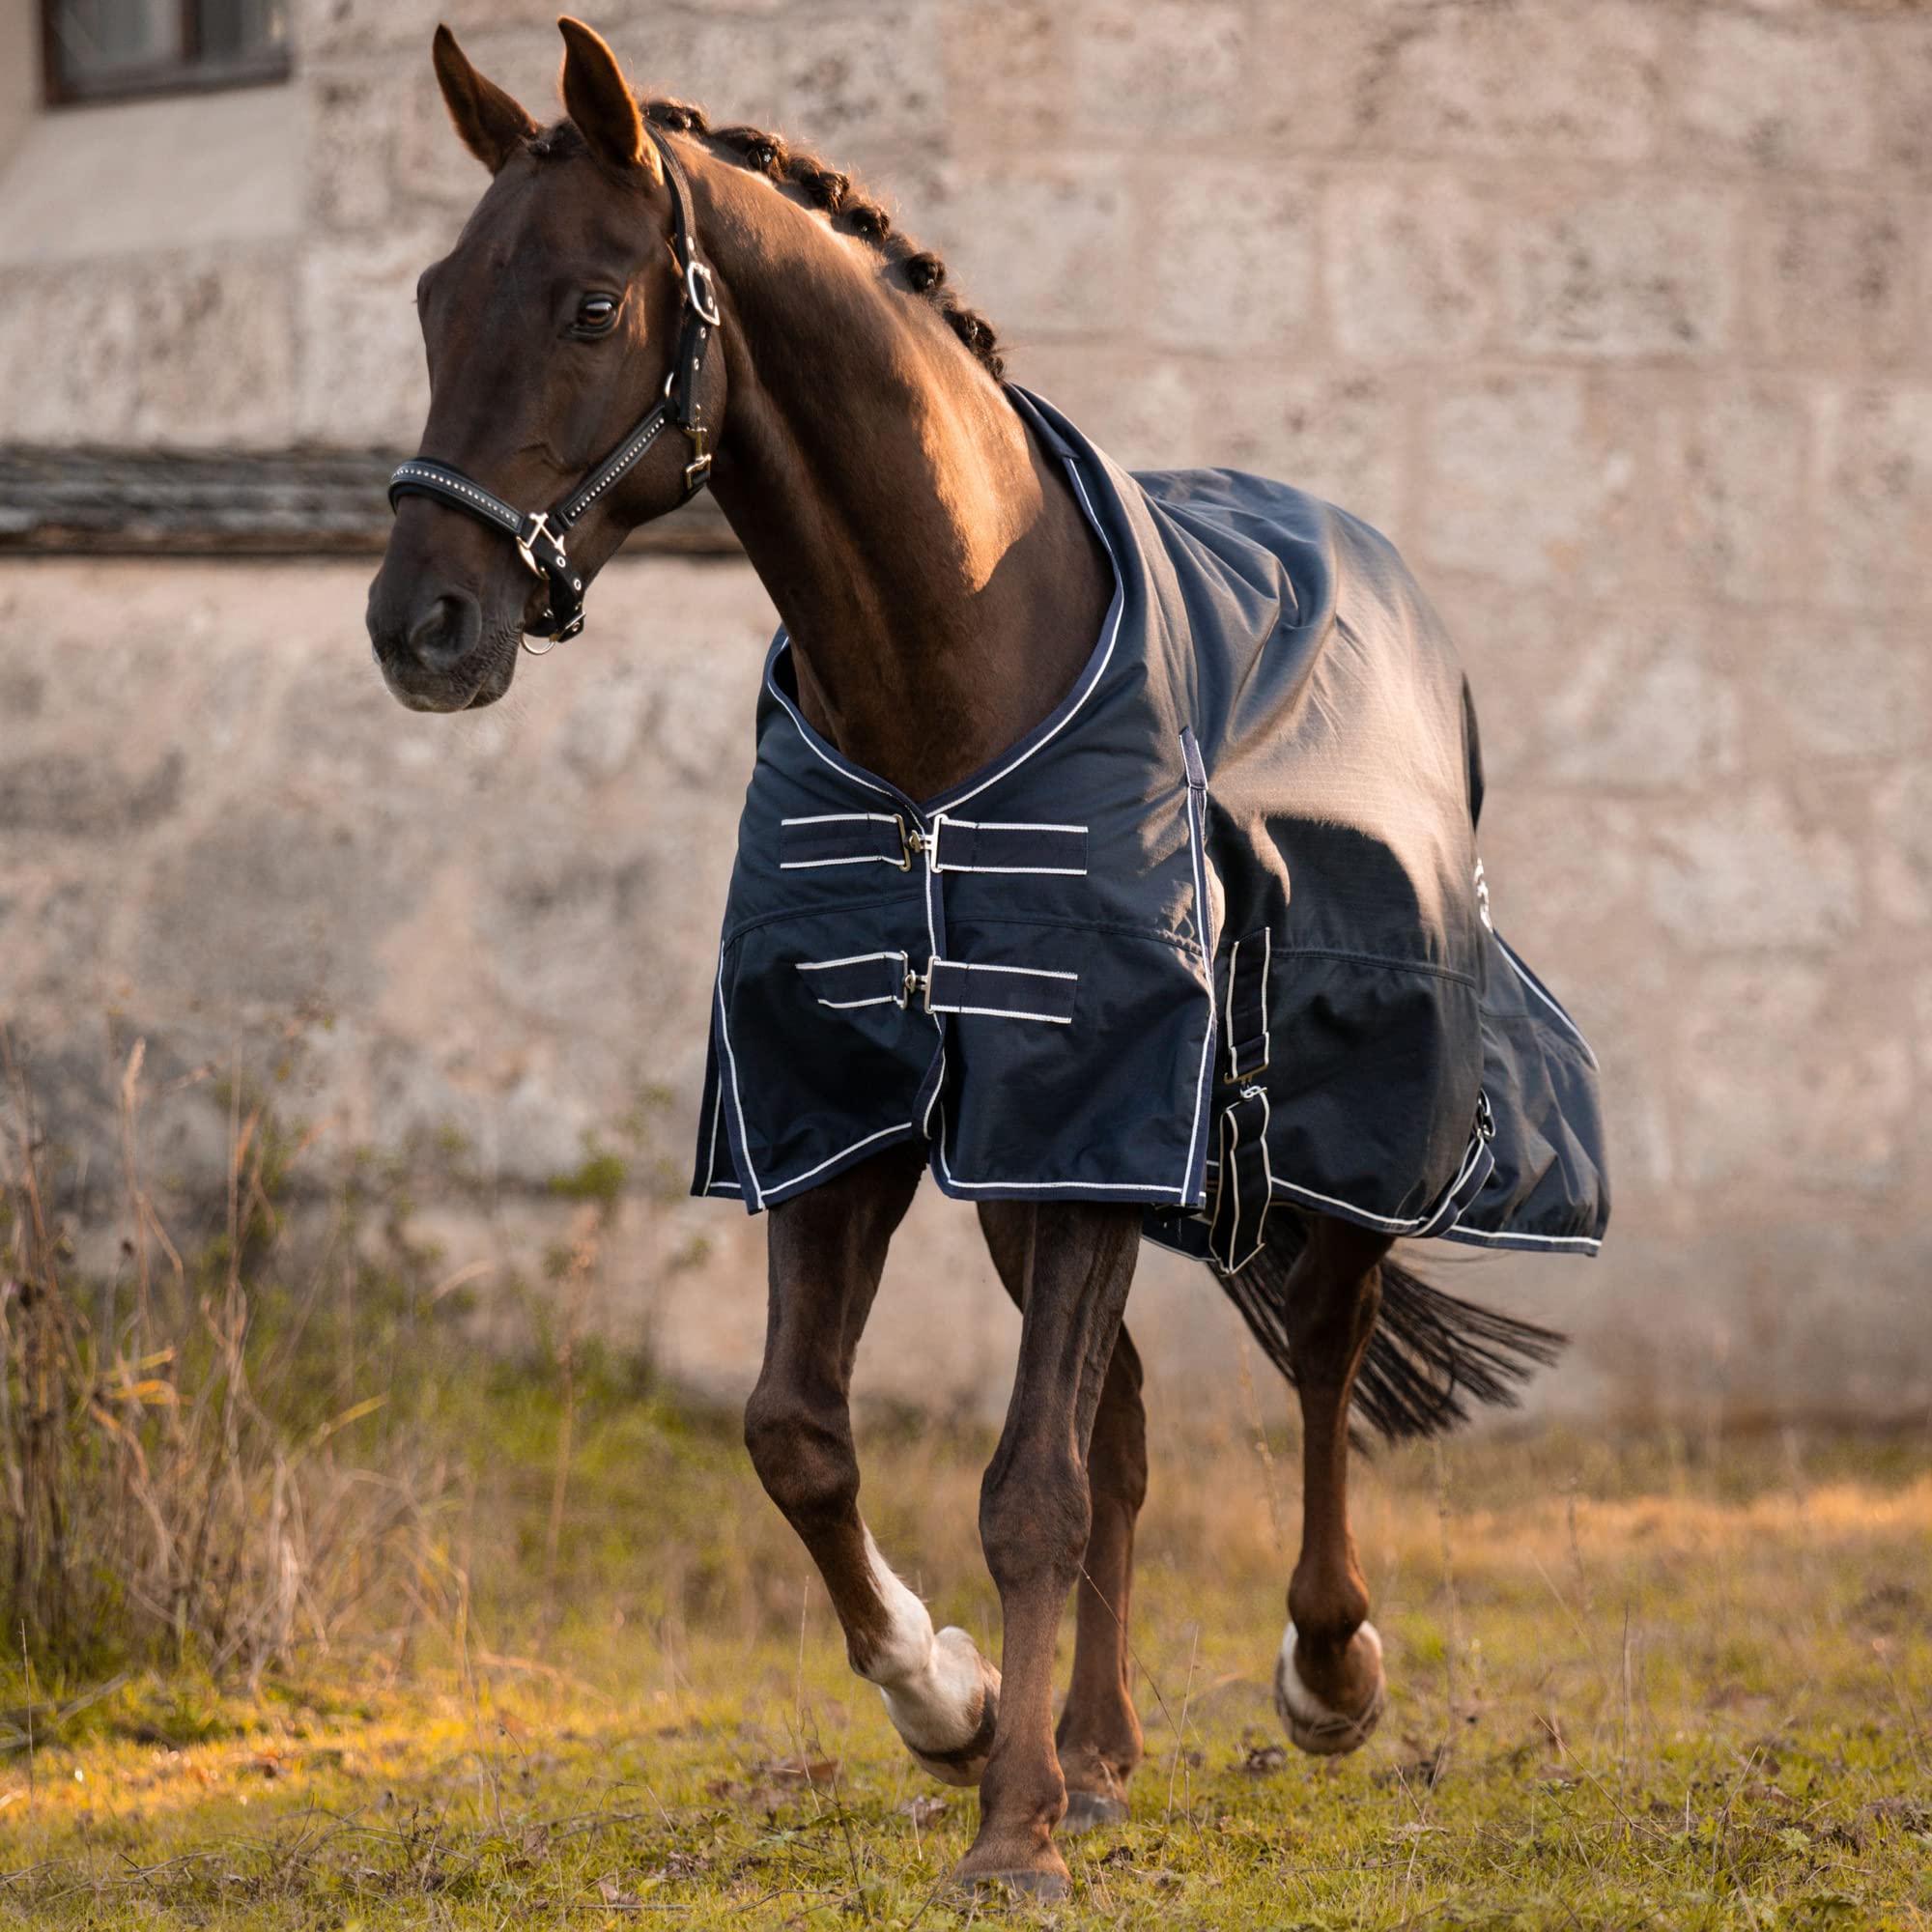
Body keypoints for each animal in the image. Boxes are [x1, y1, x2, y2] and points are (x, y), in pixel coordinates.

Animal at [367, 20, 1603, 1897]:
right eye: (438, 300)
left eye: (589, 303)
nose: (419, 625)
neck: (949, 685)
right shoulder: (851, 1108)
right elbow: (805, 1437)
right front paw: (954, 1713)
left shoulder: (1103, 1114)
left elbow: (1027, 1485)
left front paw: (1008, 1833)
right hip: (1039, 1183)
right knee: (1130, 1426)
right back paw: (1092, 1746)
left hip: (1336, 1122)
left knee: (1321, 1354)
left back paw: (1324, 1674)